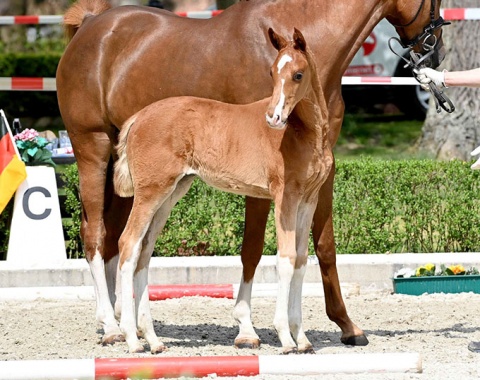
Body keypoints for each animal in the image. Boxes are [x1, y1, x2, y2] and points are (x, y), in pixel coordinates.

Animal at [114, 29, 332, 354]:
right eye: (271, 72)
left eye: (298, 74)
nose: (273, 118)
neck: (305, 133)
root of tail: (138, 117)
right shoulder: (285, 197)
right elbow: (286, 260)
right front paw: (285, 338)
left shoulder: (308, 199)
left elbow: (302, 261)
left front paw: (302, 339)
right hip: (150, 191)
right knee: (128, 244)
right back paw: (131, 339)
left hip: (170, 193)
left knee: (145, 251)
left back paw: (153, 340)